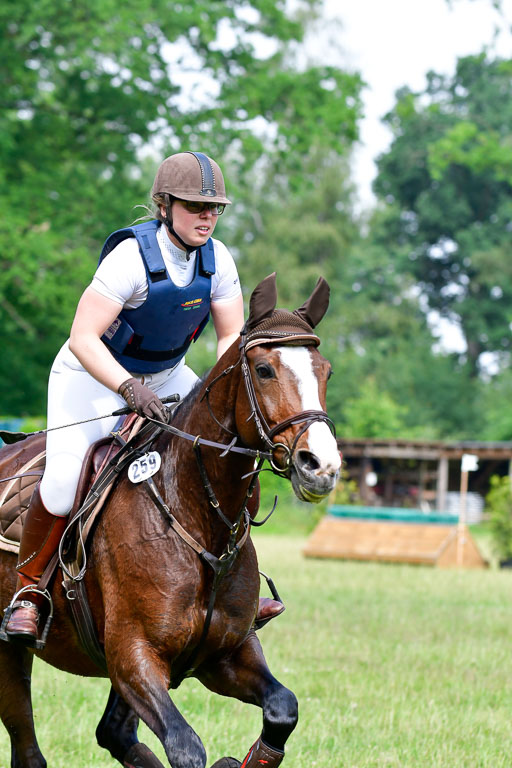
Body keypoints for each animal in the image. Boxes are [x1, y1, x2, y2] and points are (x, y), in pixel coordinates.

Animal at [1, 276, 344, 768]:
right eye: (263, 370)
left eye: (326, 372)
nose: (322, 466)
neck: (199, 521)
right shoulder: (133, 659)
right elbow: (185, 747)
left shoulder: (225, 654)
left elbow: (283, 708)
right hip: (10, 648)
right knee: (29, 744)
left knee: (114, 732)